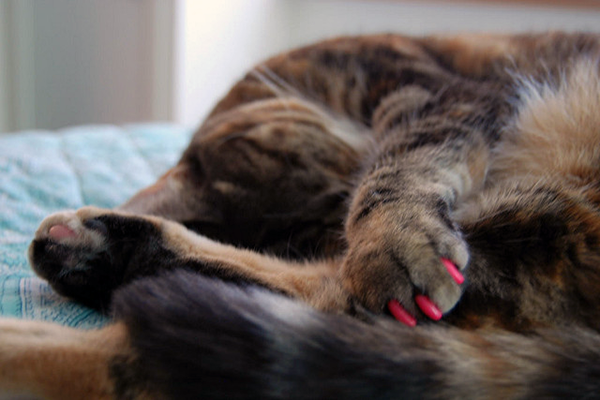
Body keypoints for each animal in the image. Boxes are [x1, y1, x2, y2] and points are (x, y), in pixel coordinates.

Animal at [1, 32, 600, 400]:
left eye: (337, 202)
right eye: (317, 230)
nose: (346, 199)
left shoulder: (439, 94)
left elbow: (404, 161)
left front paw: (389, 236)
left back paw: (88, 257)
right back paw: (81, 265)